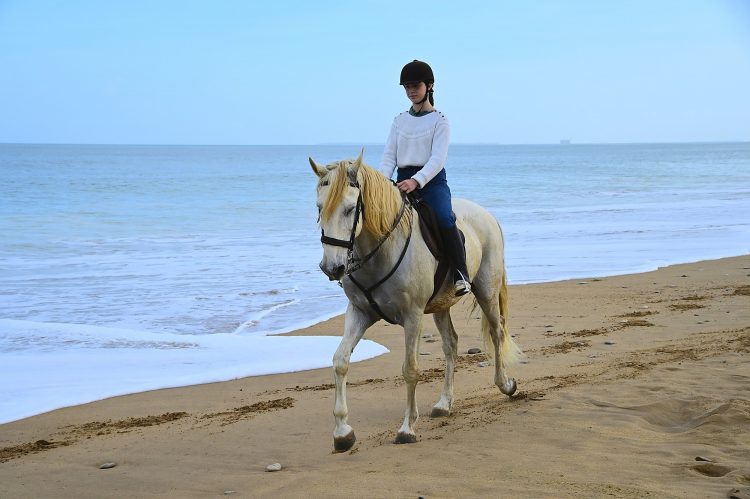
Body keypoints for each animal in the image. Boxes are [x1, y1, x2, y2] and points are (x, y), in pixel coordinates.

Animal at [310, 151, 522, 452]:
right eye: (319, 208)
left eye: (350, 209)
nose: (332, 268)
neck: (380, 250)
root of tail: (487, 214)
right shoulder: (360, 312)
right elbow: (340, 361)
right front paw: (342, 433)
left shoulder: (412, 316)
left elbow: (410, 369)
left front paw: (407, 428)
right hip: (442, 305)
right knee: (451, 344)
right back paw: (444, 404)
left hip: (487, 292)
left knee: (496, 332)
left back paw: (505, 384)